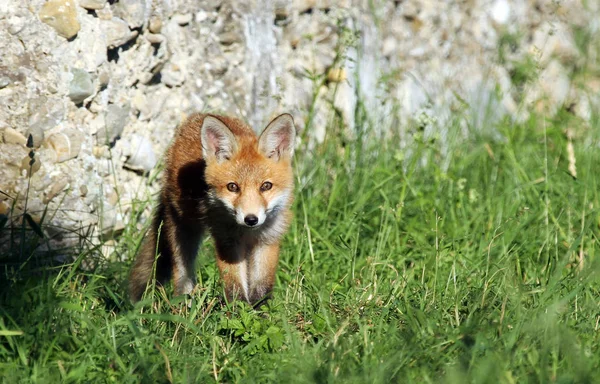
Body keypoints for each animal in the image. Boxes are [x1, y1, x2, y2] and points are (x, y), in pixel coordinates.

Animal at [131, 112, 298, 304]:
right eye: (232, 187)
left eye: (266, 186)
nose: (250, 219)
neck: (247, 232)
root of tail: (197, 116)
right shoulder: (227, 241)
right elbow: (234, 286)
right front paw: (238, 309)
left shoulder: (267, 240)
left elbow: (262, 287)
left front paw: (260, 309)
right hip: (183, 232)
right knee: (182, 273)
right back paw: (183, 304)